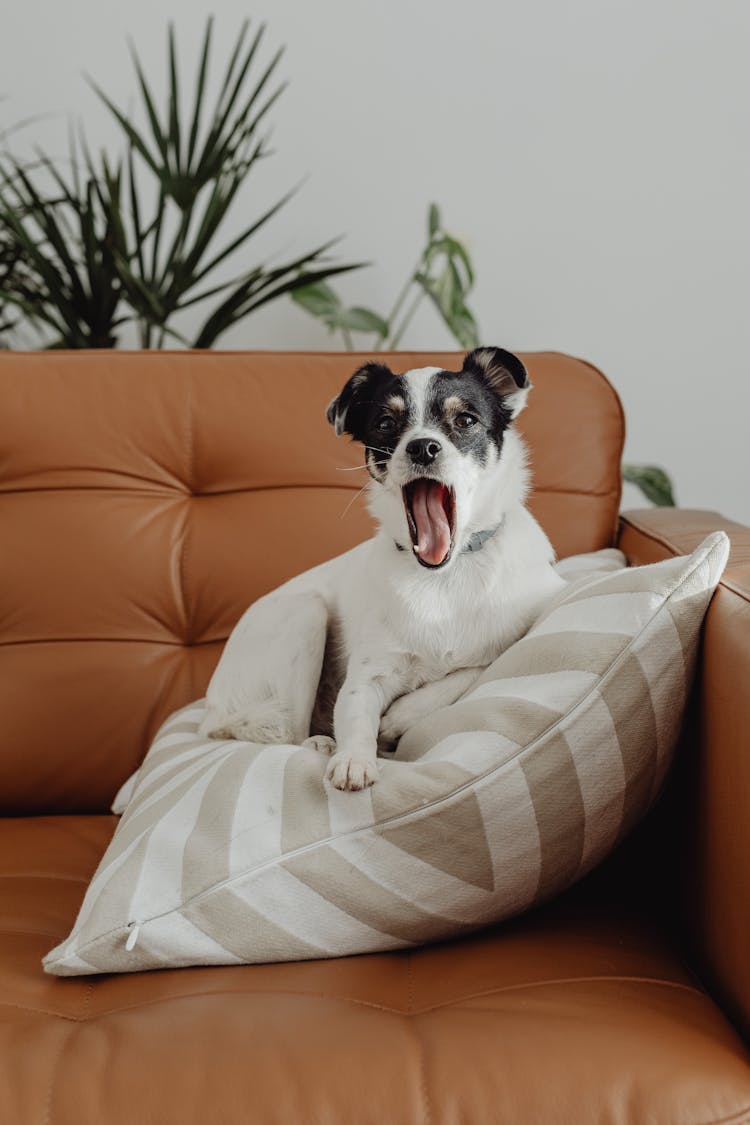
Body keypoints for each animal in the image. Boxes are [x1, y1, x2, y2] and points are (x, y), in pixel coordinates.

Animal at [202, 346, 566, 796]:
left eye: (465, 420)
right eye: (386, 424)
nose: (423, 447)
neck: (443, 575)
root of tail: (208, 712)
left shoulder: (511, 634)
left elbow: (468, 670)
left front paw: (397, 718)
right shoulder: (366, 678)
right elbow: (356, 714)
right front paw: (354, 758)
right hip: (306, 614)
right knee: (286, 730)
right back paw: (321, 742)